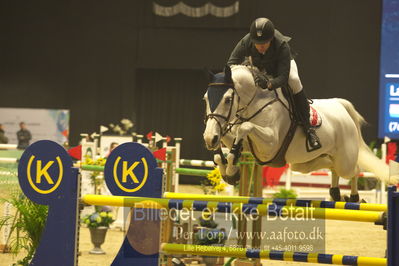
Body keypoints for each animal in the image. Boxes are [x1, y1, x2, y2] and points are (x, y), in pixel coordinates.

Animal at [205, 64, 398, 202]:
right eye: (205, 98)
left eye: (227, 99)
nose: (209, 138)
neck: (254, 103)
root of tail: (340, 105)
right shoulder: (247, 144)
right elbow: (225, 149)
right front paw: (227, 170)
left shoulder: (270, 144)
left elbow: (245, 128)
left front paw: (231, 169)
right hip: (303, 163)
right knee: (330, 164)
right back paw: (336, 193)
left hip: (345, 160)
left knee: (353, 170)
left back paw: (354, 197)